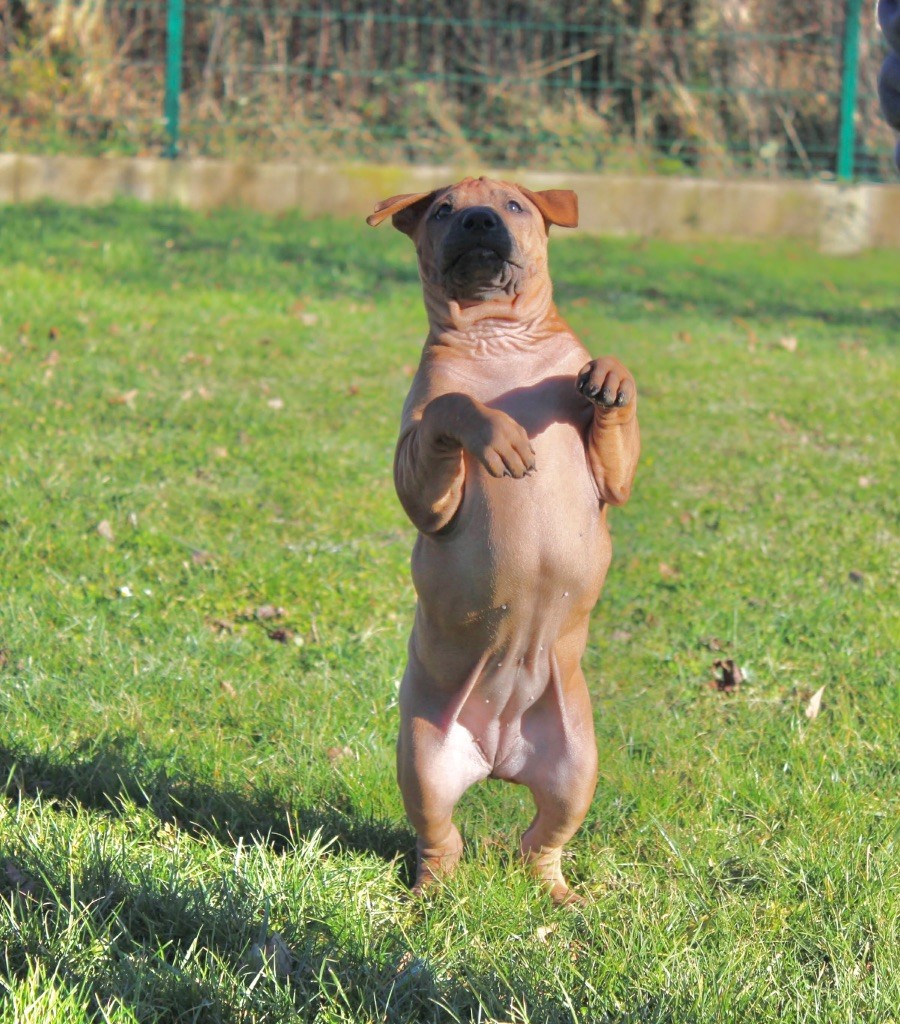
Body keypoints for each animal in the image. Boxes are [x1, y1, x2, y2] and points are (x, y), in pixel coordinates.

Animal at [368, 178, 638, 905]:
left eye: (515, 205)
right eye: (441, 210)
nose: (479, 220)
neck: (500, 343)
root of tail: (496, 757)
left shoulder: (615, 481)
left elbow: (615, 417)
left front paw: (612, 380)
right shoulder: (421, 486)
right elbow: (453, 407)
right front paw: (500, 438)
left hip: (577, 765)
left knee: (539, 843)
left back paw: (559, 897)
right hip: (424, 758)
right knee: (442, 840)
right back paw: (428, 900)